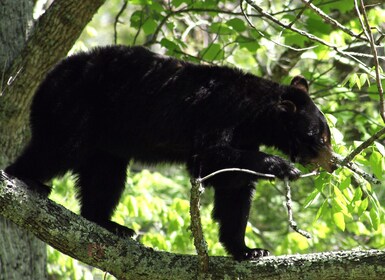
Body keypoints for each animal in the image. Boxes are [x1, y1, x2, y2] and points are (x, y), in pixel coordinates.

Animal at [6, 45, 336, 260]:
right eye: (319, 137)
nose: (332, 163)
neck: (254, 115)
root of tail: (46, 79)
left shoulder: (244, 136)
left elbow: (235, 192)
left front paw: (249, 249)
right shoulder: (220, 114)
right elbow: (209, 158)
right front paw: (281, 166)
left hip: (106, 140)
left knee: (105, 176)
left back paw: (109, 223)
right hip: (74, 105)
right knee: (58, 147)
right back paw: (26, 179)